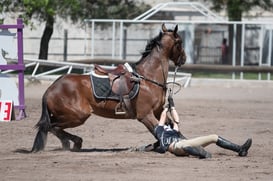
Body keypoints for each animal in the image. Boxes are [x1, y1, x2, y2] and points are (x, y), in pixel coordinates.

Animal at [30, 23, 186, 152]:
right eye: (180, 42)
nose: (183, 59)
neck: (148, 77)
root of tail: (51, 89)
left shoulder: (158, 111)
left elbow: (171, 127)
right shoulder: (145, 115)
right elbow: (159, 131)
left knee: (50, 126)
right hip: (77, 115)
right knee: (51, 126)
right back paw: (73, 143)